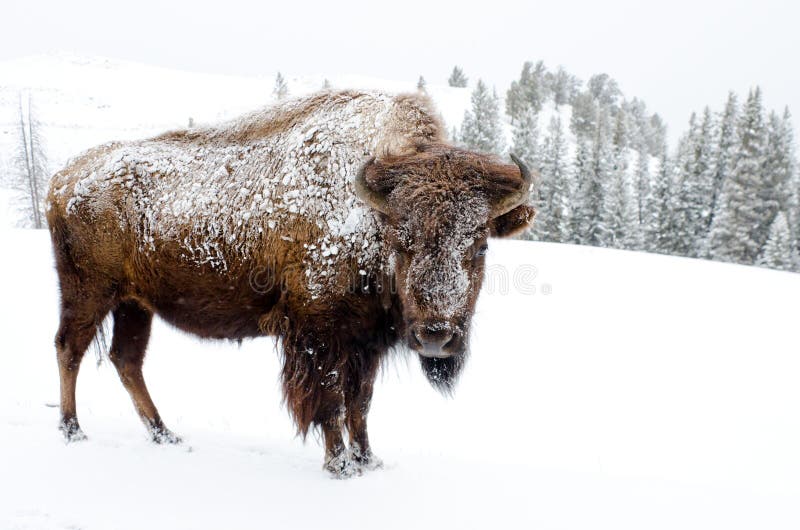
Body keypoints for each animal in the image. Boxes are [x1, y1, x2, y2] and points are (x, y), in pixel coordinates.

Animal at [48, 88, 536, 476]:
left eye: (480, 246)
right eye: (402, 241)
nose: (437, 336)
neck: (370, 213)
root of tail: (63, 178)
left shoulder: (366, 343)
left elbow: (360, 404)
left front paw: (369, 461)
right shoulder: (320, 334)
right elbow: (330, 401)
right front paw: (340, 466)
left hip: (135, 304)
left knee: (126, 360)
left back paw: (165, 434)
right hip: (88, 292)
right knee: (70, 348)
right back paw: (72, 431)